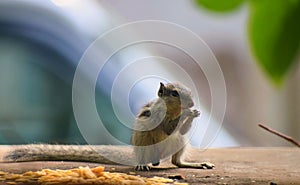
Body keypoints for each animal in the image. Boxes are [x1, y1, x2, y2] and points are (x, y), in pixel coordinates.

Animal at [0, 81, 216, 171]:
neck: (170, 111)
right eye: (174, 93)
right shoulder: (157, 117)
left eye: (189, 91)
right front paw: (188, 113)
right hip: (143, 144)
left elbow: (180, 129)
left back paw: (196, 164)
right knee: (149, 160)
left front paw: (194, 114)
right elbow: (167, 128)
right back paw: (142, 164)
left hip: (181, 144)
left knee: (176, 162)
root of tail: (156, 158)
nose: (192, 103)